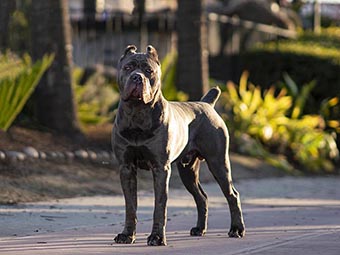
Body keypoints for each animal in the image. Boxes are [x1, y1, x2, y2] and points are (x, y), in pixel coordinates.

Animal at [111, 44, 244, 246]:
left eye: (148, 70)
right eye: (128, 68)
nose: (137, 77)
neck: (137, 113)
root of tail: (207, 104)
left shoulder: (161, 168)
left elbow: (160, 206)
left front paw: (157, 237)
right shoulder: (126, 168)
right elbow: (130, 205)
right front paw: (127, 235)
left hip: (218, 162)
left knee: (232, 195)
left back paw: (236, 229)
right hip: (187, 170)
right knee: (202, 197)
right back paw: (199, 229)